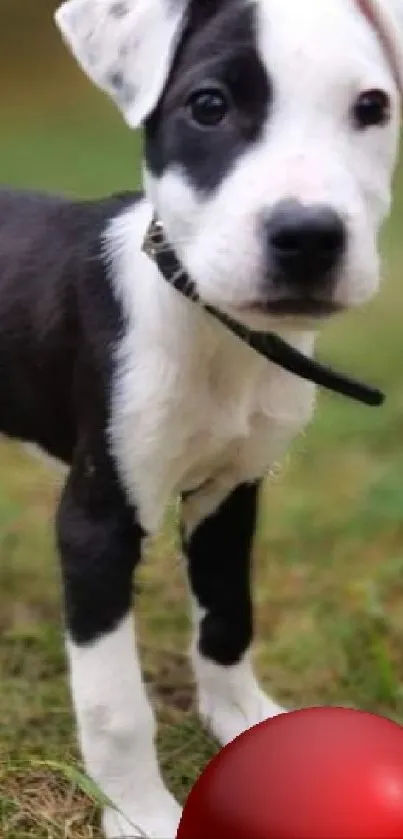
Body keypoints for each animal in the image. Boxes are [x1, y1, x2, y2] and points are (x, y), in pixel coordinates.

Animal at [2, 0, 403, 836]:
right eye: (208, 105)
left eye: (371, 108)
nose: (308, 236)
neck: (205, 319)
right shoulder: (96, 520)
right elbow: (117, 704)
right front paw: (140, 812)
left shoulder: (232, 491)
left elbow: (226, 617)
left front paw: (244, 719)